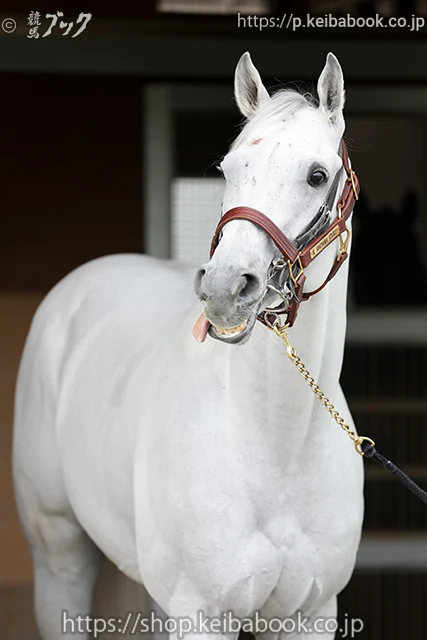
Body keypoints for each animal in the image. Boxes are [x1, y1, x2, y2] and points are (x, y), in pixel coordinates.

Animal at [13, 52, 364, 640]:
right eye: (226, 169)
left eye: (317, 175)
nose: (225, 288)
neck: (277, 447)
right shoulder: (198, 613)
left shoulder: (308, 614)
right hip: (60, 556)